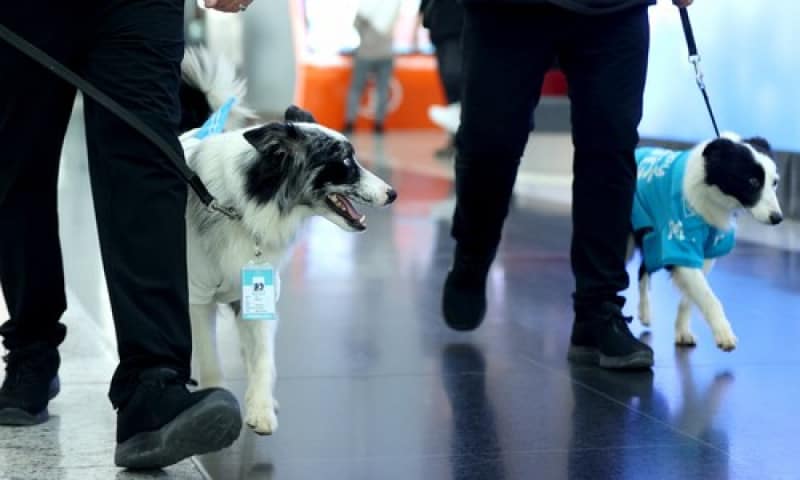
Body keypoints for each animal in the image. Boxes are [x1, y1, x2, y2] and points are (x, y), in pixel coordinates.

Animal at [178, 48, 396, 436]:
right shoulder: (197, 294)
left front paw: (261, 407)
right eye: (344, 161)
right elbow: (208, 353)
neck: (246, 203)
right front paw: (216, 400)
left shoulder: (259, 293)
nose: (392, 193)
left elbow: (263, 356)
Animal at [632, 131, 780, 352]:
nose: (778, 218)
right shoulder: (678, 240)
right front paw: (724, 334)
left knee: (643, 268)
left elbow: (692, 296)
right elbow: (709, 297)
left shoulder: (709, 250)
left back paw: (644, 312)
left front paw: (682, 331)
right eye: (753, 181)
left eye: (775, 183)